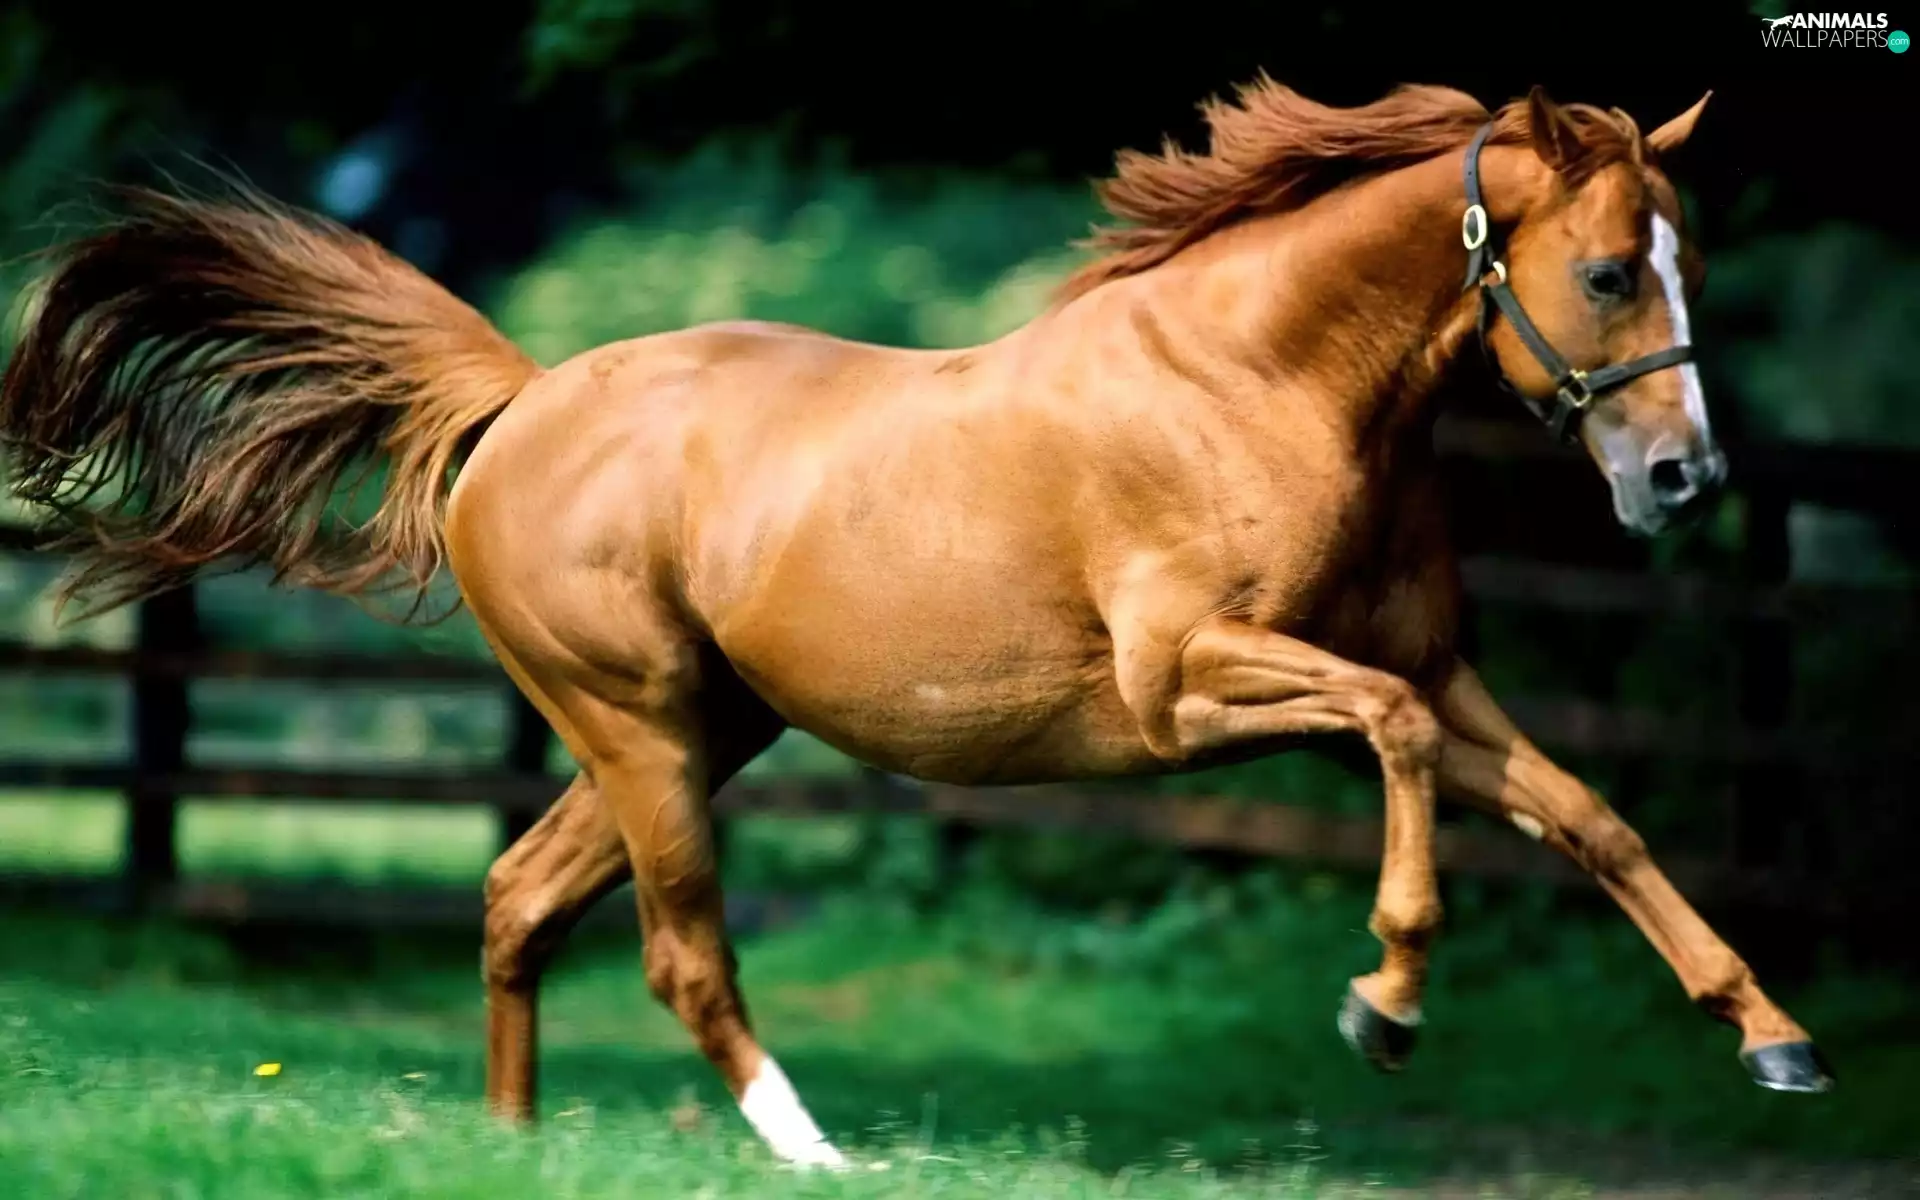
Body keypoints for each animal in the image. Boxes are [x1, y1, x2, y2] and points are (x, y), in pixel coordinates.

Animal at [0, 77, 1832, 1170]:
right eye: (1608, 272)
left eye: (1688, 260)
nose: (1684, 478)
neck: (1261, 384)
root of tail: (520, 402)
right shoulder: (1190, 692)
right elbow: (1389, 749)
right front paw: (1383, 1005)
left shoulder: (1440, 673)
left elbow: (1591, 818)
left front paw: (1776, 1044)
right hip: (640, 729)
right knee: (679, 951)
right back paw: (816, 1156)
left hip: (699, 730)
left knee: (520, 896)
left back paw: (516, 1150)